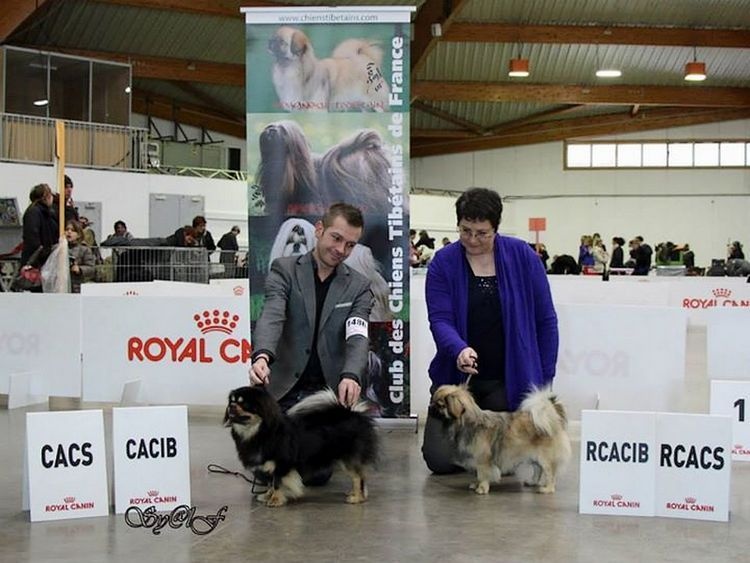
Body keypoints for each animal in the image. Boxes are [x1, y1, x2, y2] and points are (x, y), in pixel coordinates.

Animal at [224, 386, 378, 507]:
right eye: (232, 401)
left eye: (244, 404)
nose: (231, 406)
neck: (259, 432)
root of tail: (354, 414)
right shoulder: (269, 466)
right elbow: (270, 483)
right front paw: (267, 495)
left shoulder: (282, 465)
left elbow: (277, 483)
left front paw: (275, 500)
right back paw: (355, 493)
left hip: (348, 458)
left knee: (358, 477)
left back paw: (357, 498)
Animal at [429, 385, 571, 495]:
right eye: (434, 401)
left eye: (440, 405)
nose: (430, 406)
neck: (469, 423)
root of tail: (552, 416)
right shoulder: (475, 460)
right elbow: (478, 474)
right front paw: (476, 484)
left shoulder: (482, 459)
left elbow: (483, 474)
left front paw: (482, 488)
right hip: (535, 456)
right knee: (538, 469)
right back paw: (532, 482)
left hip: (544, 457)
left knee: (550, 473)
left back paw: (547, 489)